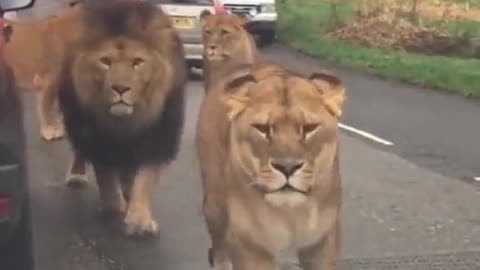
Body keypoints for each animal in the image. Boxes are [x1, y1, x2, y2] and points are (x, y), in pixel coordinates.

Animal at [57, 0, 187, 236]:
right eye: (105, 61)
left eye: (137, 62)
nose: (120, 88)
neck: (126, 123)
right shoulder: (95, 134)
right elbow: (105, 173)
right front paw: (112, 204)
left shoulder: (158, 136)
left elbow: (144, 179)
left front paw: (140, 220)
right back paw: (78, 176)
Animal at [195, 63, 344, 270]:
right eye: (262, 129)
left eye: (309, 128)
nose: (287, 167)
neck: (291, 213)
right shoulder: (251, 247)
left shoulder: (320, 245)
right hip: (215, 205)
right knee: (218, 245)